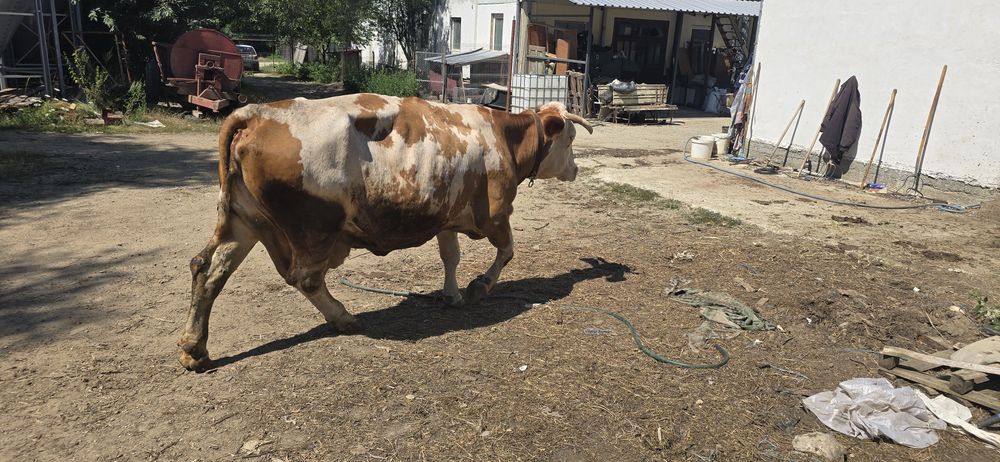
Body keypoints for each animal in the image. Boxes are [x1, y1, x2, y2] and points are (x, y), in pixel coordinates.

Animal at [177, 93, 592, 371]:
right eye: (571, 139)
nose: (575, 170)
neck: (502, 136)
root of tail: (257, 113)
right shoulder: (495, 213)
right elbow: (506, 252)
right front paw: (479, 287)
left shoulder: (444, 214)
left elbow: (451, 256)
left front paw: (452, 294)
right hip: (313, 226)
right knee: (306, 278)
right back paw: (343, 317)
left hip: (243, 219)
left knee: (207, 268)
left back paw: (194, 347)